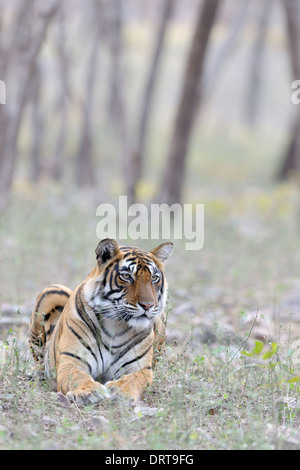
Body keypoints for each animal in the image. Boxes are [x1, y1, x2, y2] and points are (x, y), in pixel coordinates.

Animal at [28, 239, 173, 404]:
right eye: (126, 276)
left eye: (154, 278)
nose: (148, 305)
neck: (116, 325)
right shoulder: (71, 362)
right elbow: (78, 377)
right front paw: (89, 392)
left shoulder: (141, 369)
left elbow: (132, 380)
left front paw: (120, 391)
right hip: (51, 291)